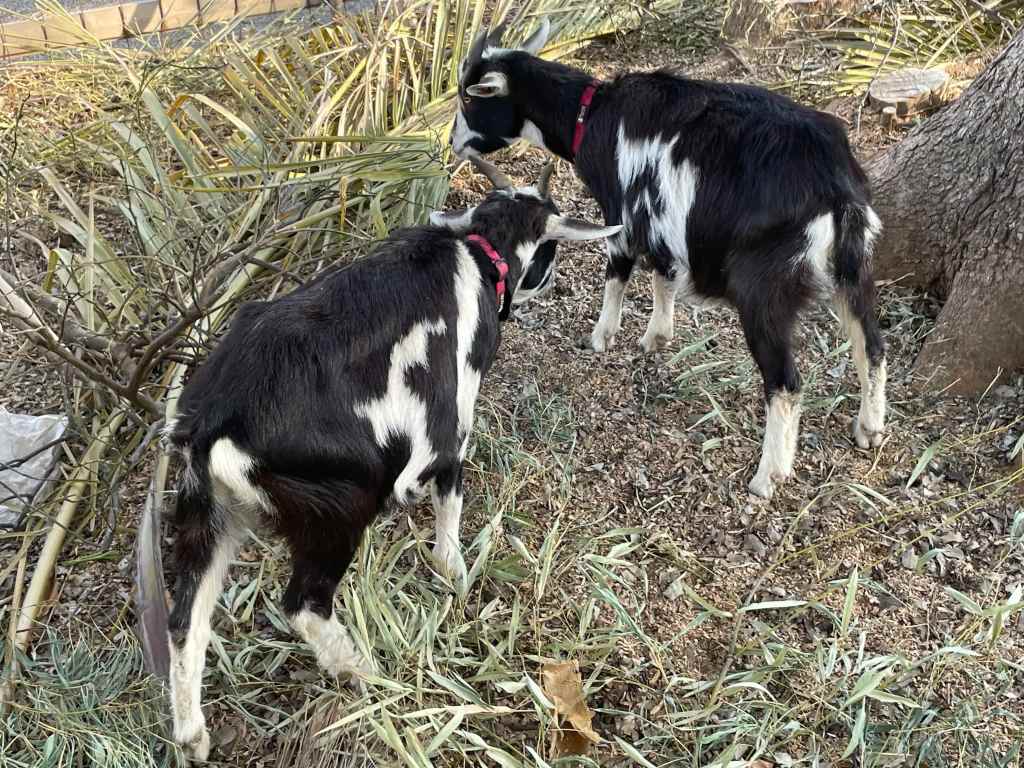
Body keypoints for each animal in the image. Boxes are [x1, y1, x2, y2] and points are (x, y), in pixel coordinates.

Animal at [161, 157, 620, 761]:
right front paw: (454, 573)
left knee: (184, 620)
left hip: (211, 512)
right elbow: (450, 503)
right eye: (550, 250)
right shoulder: (448, 428)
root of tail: (215, 421)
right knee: (304, 603)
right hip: (337, 506)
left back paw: (193, 736)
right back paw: (363, 672)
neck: (476, 254)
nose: (552, 282)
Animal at [450, 20, 887, 499]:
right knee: (872, 346)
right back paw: (870, 428)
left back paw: (767, 475)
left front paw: (601, 336)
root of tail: (837, 190)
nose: (453, 144)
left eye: (469, 98)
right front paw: (656, 337)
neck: (592, 115)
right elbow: (663, 272)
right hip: (856, 268)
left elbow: (618, 272)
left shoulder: (621, 210)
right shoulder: (660, 216)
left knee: (786, 381)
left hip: (764, 286)